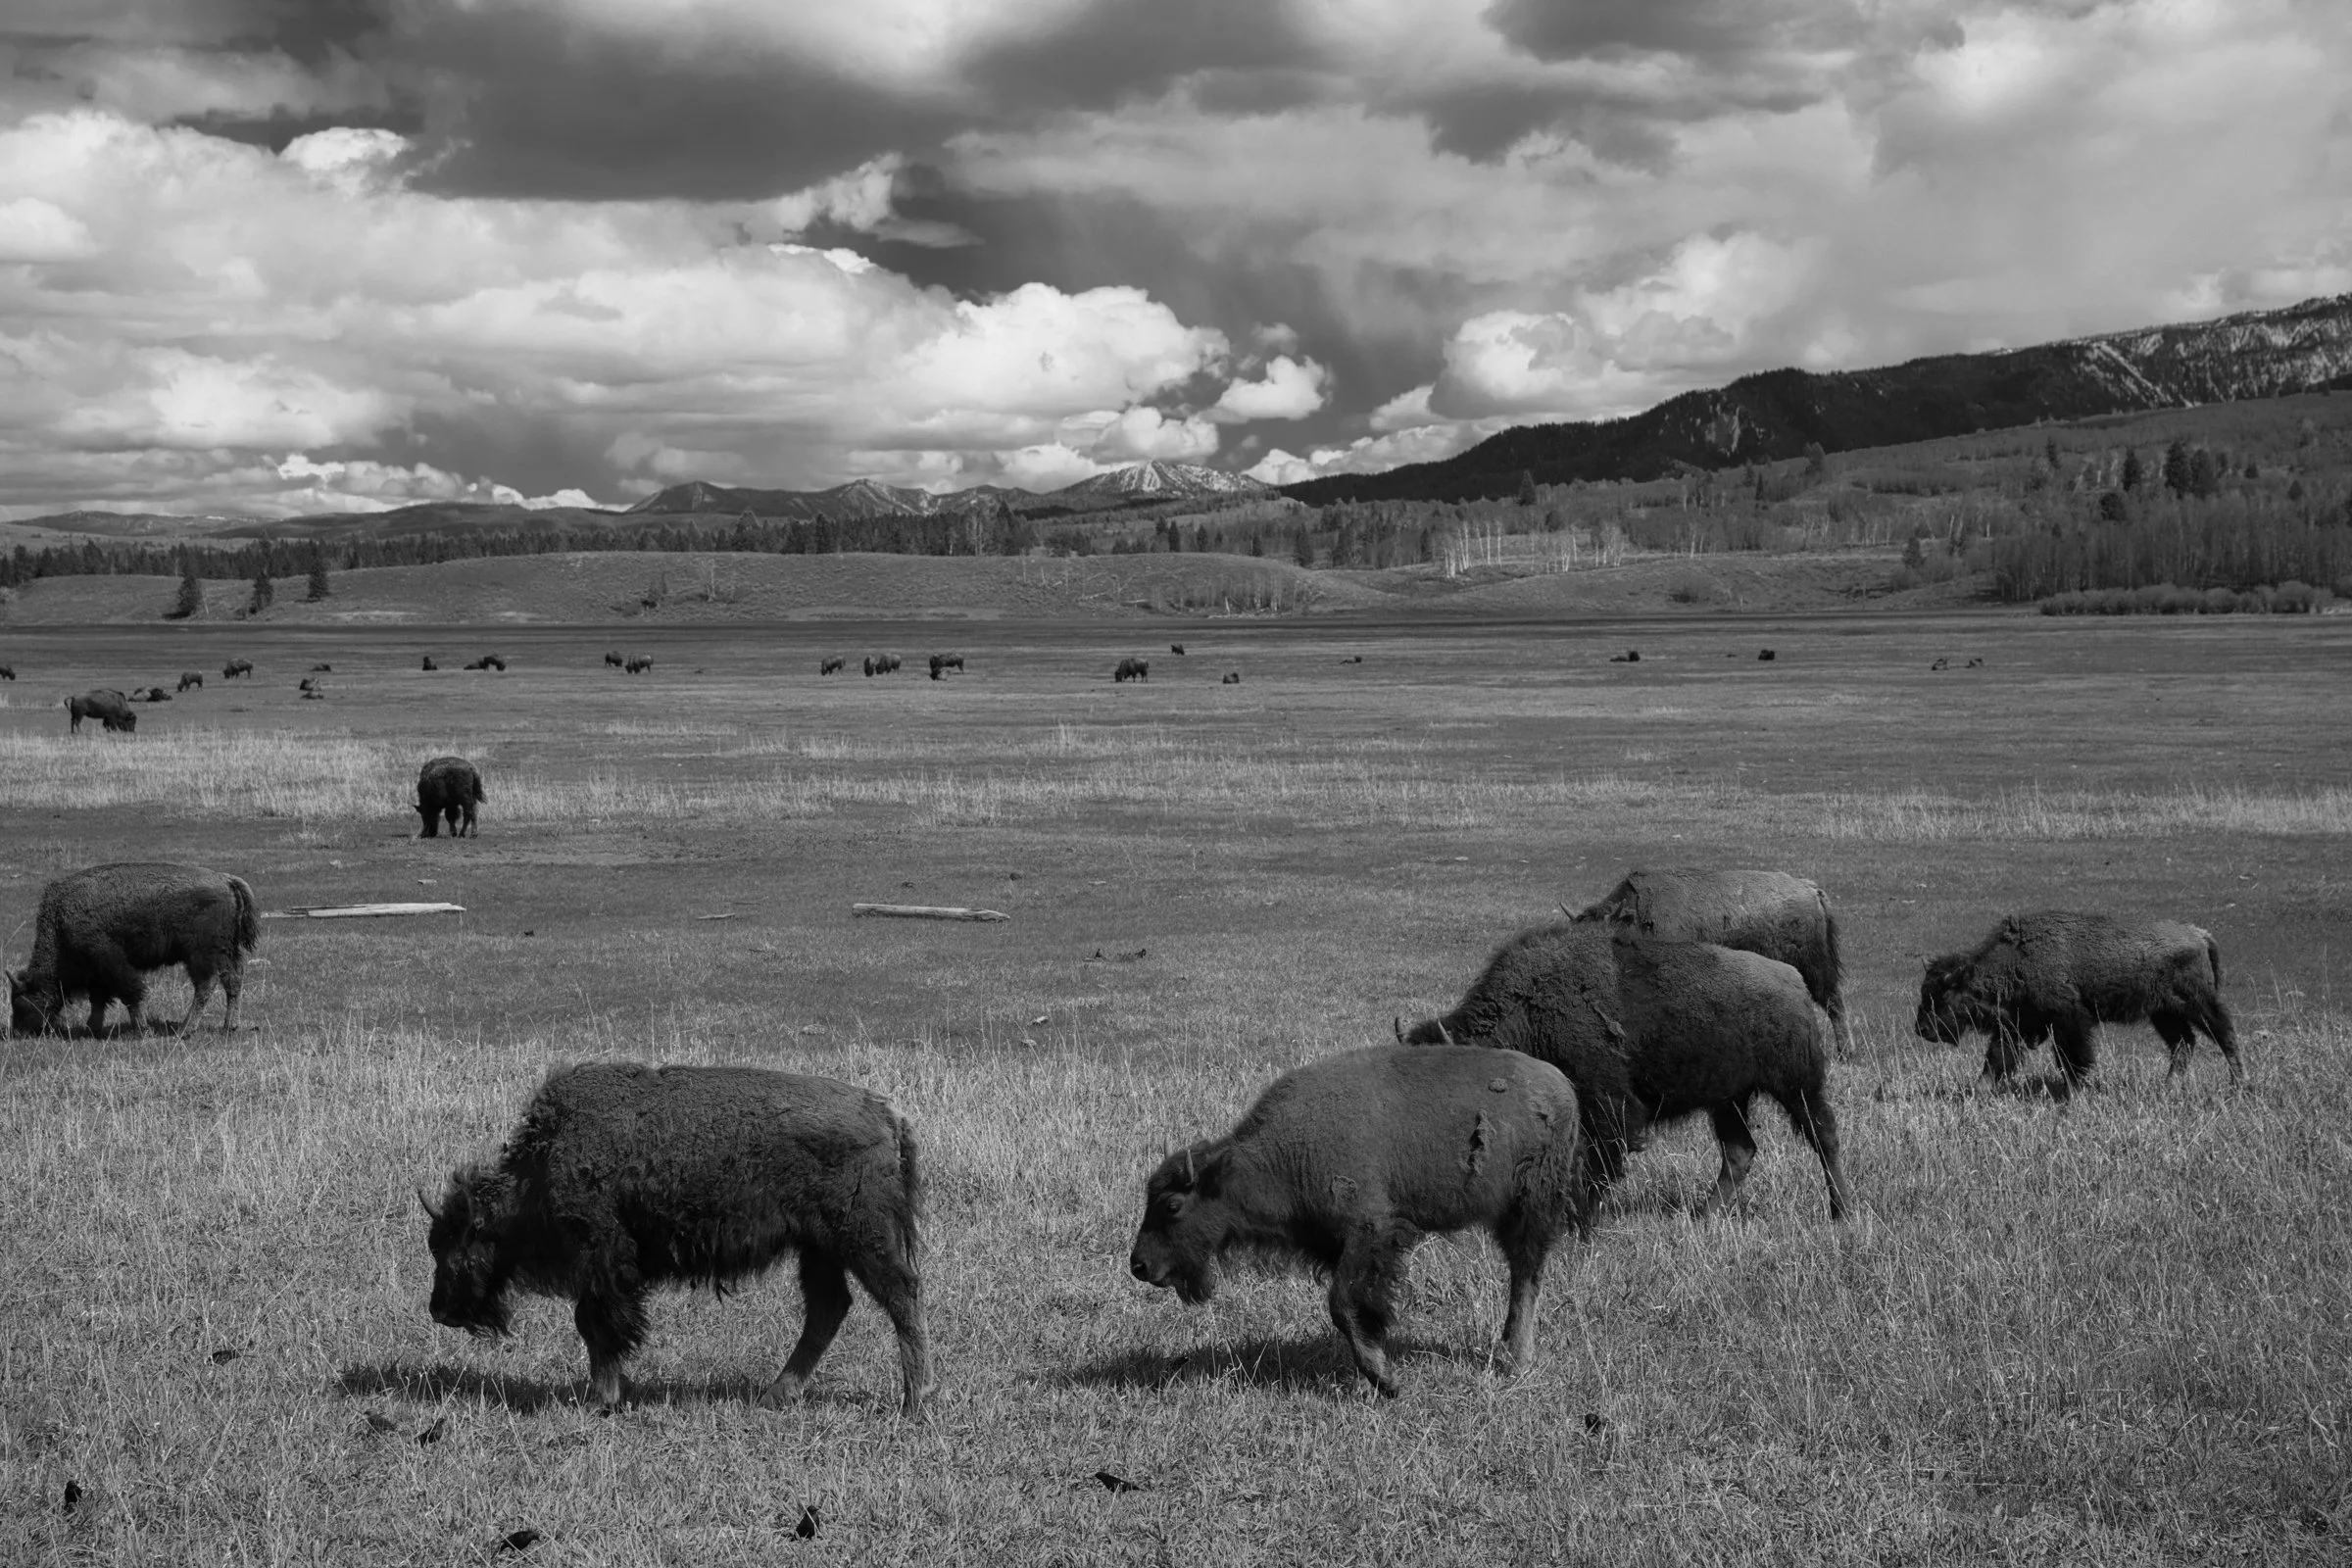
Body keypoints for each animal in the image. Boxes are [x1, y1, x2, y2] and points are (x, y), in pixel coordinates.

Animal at [10, 863, 258, 1035]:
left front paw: (142, 1030)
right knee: (233, 980)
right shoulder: (97, 972)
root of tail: (226, 880)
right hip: (227, 951)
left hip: (199, 954)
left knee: (206, 985)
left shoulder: (111, 963)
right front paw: (92, 1028)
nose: (18, 1032)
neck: (60, 920)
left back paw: (185, 1030)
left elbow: (131, 993)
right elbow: (98, 999)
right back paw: (229, 1027)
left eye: (22, 1003)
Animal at [423, 1062, 933, 1417]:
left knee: (901, 1296)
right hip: (819, 1249)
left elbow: (594, 1324)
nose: (440, 1311)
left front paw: (601, 1400)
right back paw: (774, 1396)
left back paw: (913, 1404)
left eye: (460, 1245)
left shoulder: (602, 1260)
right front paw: (606, 1395)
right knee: (829, 1309)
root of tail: (890, 1115)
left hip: (862, 1240)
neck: (540, 1167)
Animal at [1129, 1044, 1586, 1399]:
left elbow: (1343, 1306)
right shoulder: (1339, 1247)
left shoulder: (1370, 1232)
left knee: (1526, 1274)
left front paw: (1386, 1381)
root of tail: (1561, 1085)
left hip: (1531, 1206)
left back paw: (1516, 1360)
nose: (1139, 1265)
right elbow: (1359, 1313)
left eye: (1172, 1205)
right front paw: (1369, 1378)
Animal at [1402, 925, 1847, 1220]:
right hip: (1728, 1100)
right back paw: (1703, 1215)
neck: (1530, 1009)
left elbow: (1600, 1164)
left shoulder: (1606, 1107)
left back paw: (1840, 1212)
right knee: (1739, 1151)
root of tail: (1792, 980)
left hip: (1797, 1086)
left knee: (1823, 1135)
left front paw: (1581, 1222)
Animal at [1917, 911, 2239, 1089]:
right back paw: (2168, 1087)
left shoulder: (2068, 1021)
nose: (1921, 1029)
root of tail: (2198, 934)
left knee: (2224, 1035)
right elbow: (1996, 1060)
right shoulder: (2014, 1025)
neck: (2017, 959)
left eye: (1942, 995)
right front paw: (1977, 1093)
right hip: (2164, 1013)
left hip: (2197, 1004)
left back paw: (2239, 1085)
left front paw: (2072, 1095)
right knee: (2184, 1042)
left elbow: (2071, 1060)